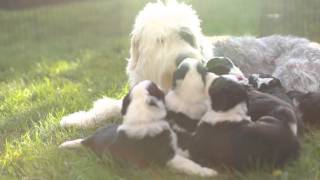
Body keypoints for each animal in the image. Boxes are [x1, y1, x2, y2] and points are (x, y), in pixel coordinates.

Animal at [58, 80, 216, 177]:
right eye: (156, 88)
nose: (160, 84)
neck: (142, 117)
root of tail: (88, 140)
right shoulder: (167, 155)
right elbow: (188, 164)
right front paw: (208, 172)